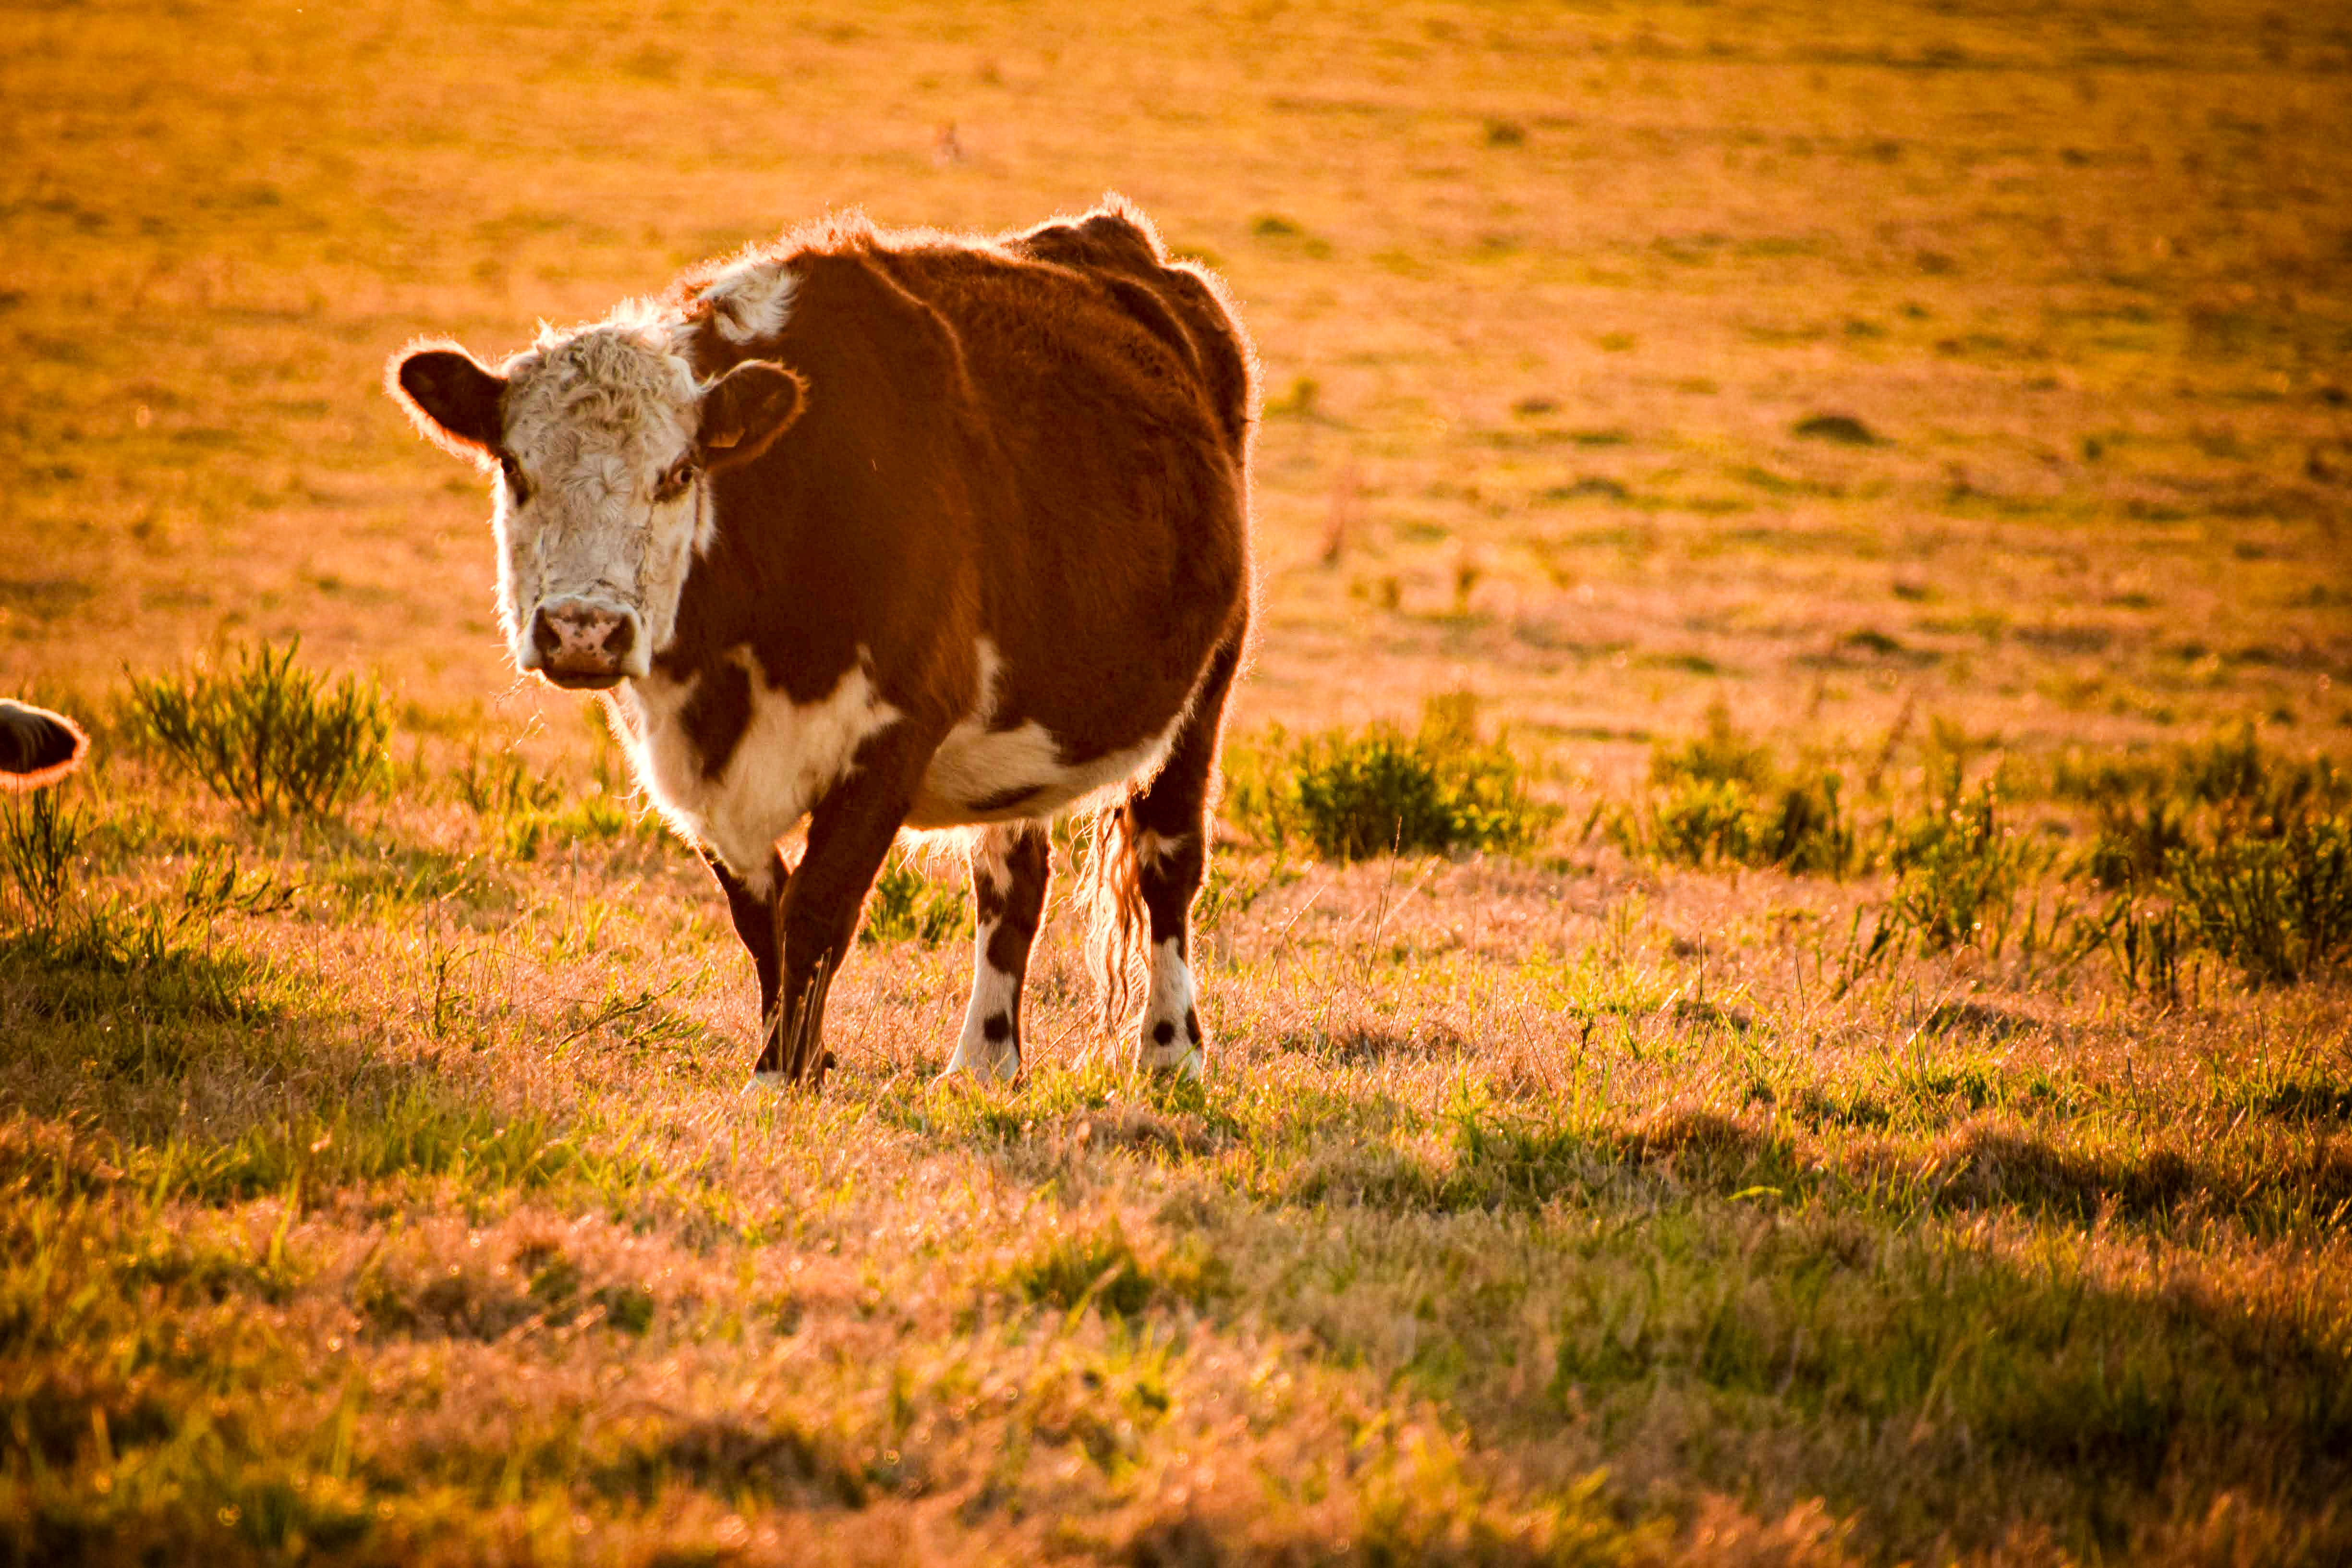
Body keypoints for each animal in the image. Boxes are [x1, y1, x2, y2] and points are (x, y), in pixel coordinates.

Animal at [388, 199, 1254, 1089]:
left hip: (1206, 685)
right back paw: (982, 1061)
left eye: (677, 473)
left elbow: (816, 908)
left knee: (1167, 859)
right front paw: (796, 1064)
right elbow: (761, 918)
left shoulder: (894, 735)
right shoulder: (687, 767)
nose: (583, 630)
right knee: (1012, 880)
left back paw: (1170, 1051)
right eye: (514, 468)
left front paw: (778, 1078)